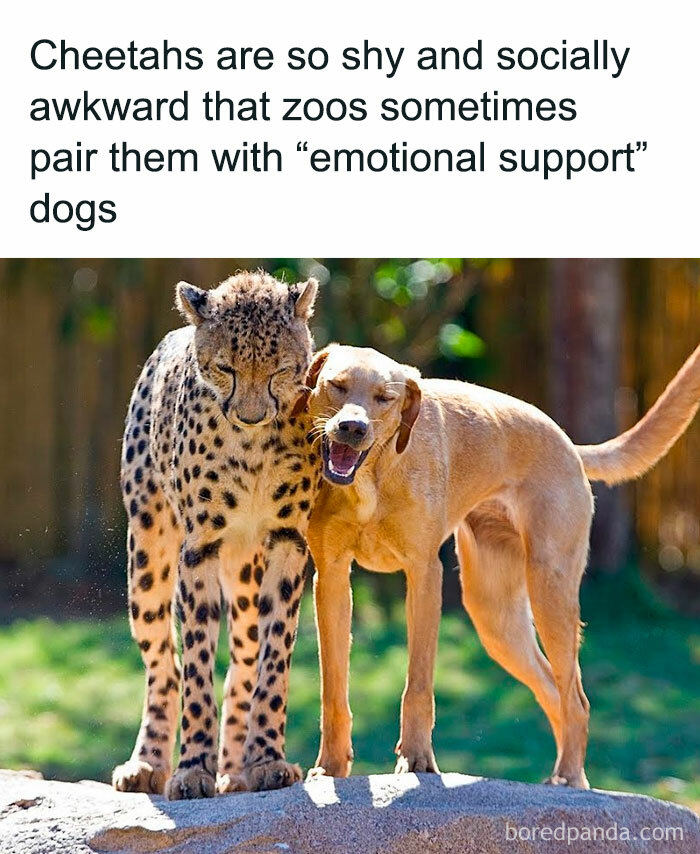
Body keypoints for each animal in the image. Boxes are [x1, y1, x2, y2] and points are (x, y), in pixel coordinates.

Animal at [112, 270, 322, 800]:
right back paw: (148, 763)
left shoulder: (288, 541)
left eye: (279, 370)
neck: (251, 447)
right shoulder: (199, 547)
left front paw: (266, 759)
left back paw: (236, 770)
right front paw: (191, 769)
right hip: (147, 558)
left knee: (243, 665)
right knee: (164, 667)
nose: (250, 415)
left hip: (247, 574)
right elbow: (197, 666)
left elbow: (273, 660)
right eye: (225, 368)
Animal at [296, 342, 700, 788]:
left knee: (576, 699)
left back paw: (569, 777)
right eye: (337, 385)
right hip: (496, 618)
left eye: (385, 398)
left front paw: (417, 760)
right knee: (553, 691)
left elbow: (418, 684)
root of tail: (567, 443)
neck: (372, 478)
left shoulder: (424, 575)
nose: (352, 428)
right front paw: (331, 767)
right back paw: (565, 777)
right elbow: (333, 690)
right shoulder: (332, 578)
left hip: (550, 592)